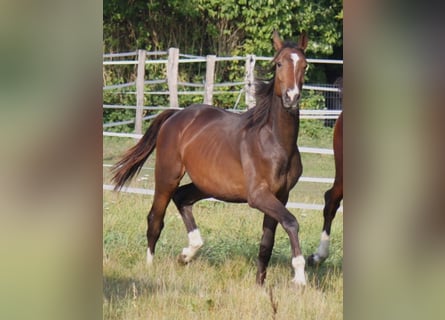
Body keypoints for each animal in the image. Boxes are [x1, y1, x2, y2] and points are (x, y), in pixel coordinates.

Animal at [112, 31, 308, 286]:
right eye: (279, 63)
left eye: (304, 65)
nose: (291, 98)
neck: (274, 141)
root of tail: (176, 115)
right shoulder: (258, 196)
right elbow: (292, 222)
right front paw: (300, 277)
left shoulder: (281, 196)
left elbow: (267, 243)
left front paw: (261, 286)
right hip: (167, 176)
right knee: (155, 218)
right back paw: (150, 267)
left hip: (208, 185)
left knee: (182, 198)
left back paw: (187, 253)